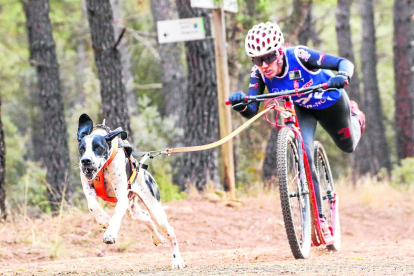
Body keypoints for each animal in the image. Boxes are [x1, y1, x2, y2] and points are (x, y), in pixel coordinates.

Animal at [77, 112, 186, 270]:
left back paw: (177, 260)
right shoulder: (88, 187)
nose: (85, 161)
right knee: (146, 217)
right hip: (133, 211)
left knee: (169, 231)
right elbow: (92, 205)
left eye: (98, 147)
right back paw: (157, 238)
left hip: (155, 210)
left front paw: (110, 233)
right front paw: (104, 220)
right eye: (82, 148)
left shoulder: (121, 197)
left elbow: (116, 216)